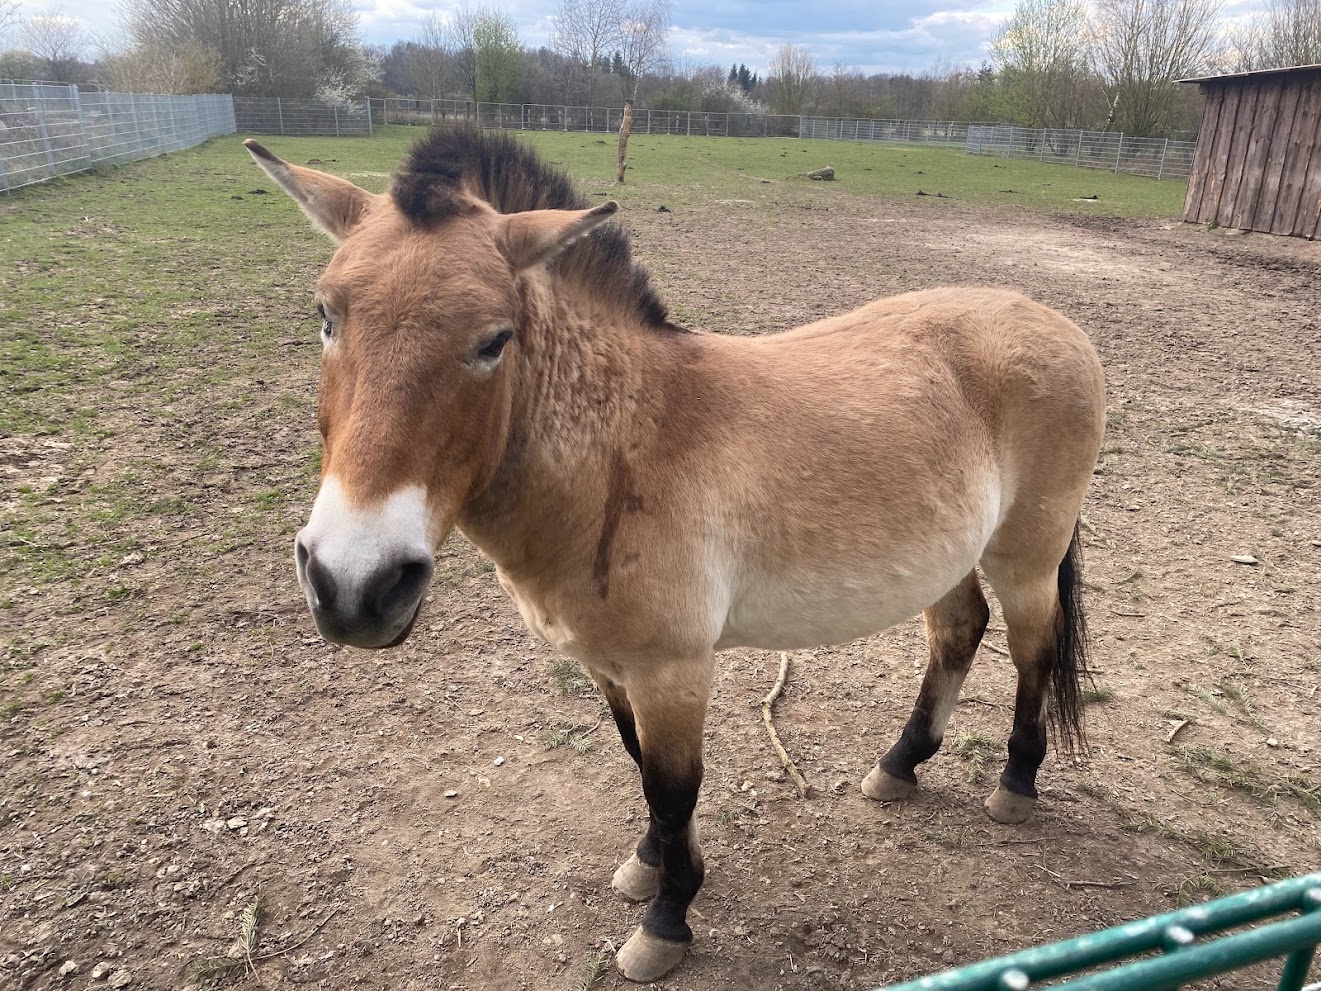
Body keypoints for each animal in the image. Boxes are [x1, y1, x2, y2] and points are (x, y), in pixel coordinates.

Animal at [244, 127, 1106, 982]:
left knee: (1032, 648)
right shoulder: (608, 664)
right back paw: (899, 765)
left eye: (493, 340)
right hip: (948, 558)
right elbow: (639, 767)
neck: (622, 446)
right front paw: (649, 863)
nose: (354, 584)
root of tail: (1048, 319)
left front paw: (666, 919)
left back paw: (1015, 781)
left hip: (1025, 555)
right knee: (958, 632)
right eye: (326, 315)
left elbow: (672, 785)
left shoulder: (673, 669)